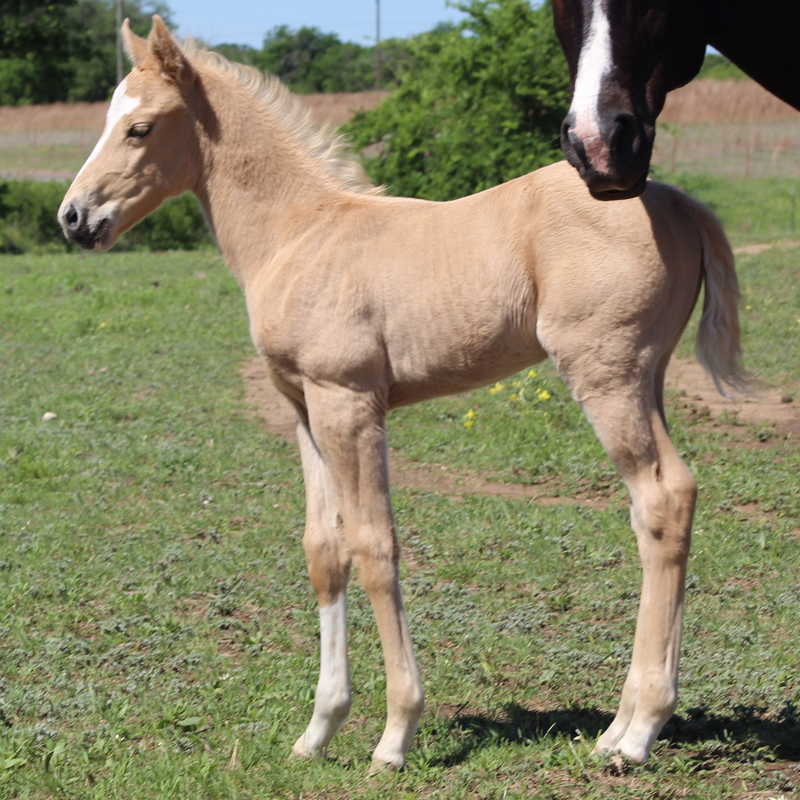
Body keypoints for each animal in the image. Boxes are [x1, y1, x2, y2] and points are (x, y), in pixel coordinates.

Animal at [58, 16, 748, 770]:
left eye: (140, 128)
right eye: (106, 118)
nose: (73, 217)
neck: (300, 233)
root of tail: (675, 200)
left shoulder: (349, 402)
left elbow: (373, 547)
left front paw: (395, 734)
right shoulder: (304, 411)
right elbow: (323, 551)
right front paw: (318, 730)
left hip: (605, 374)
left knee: (663, 497)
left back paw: (637, 732)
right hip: (644, 377)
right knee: (659, 509)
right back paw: (622, 724)